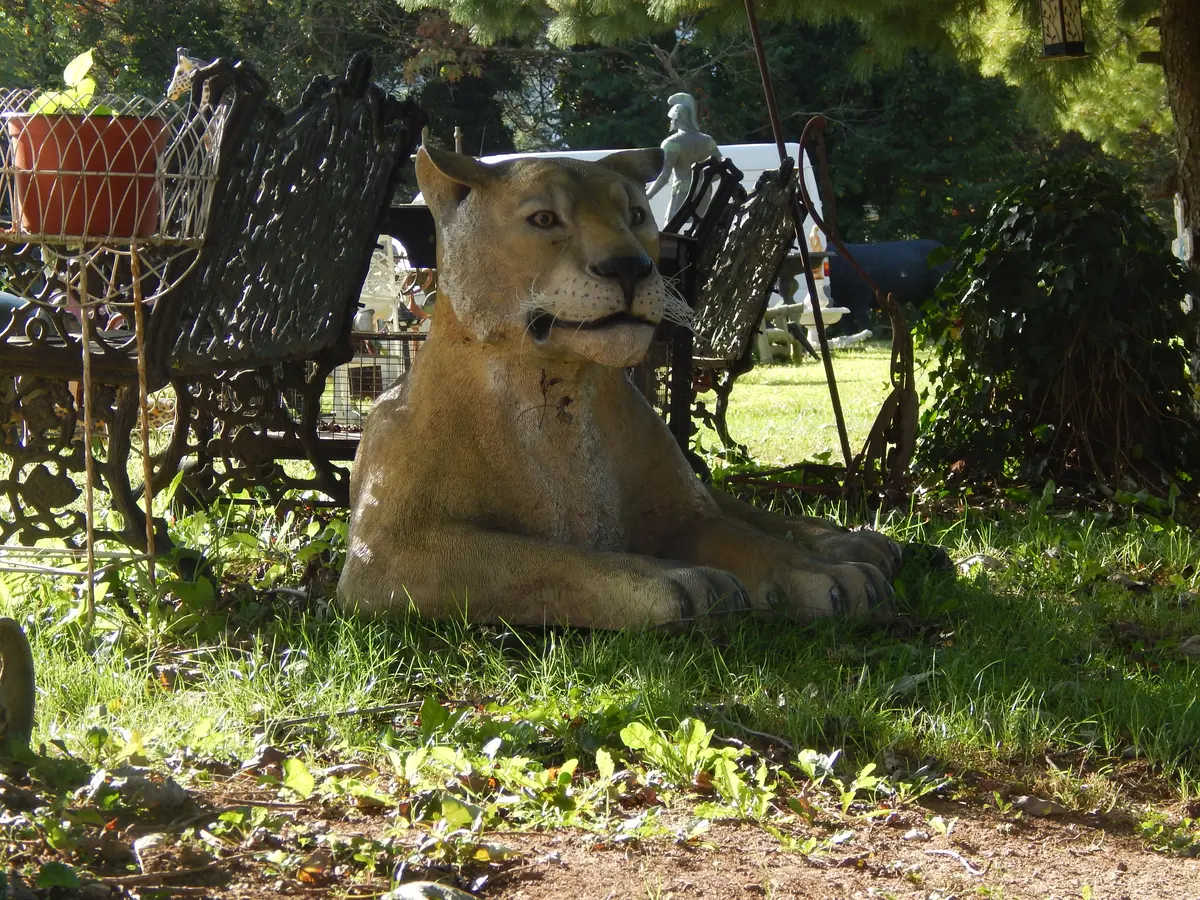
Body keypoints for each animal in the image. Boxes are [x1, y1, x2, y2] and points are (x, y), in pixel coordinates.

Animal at [337, 146, 902, 629]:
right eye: (544, 219)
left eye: (635, 215)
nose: (630, 266)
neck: (557, 395)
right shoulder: (389, 553)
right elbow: (551, 561)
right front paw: (679, 580)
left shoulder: (683, 515)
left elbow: (759, 546)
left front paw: (827, 576)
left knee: (756, 515)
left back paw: (855, 546)